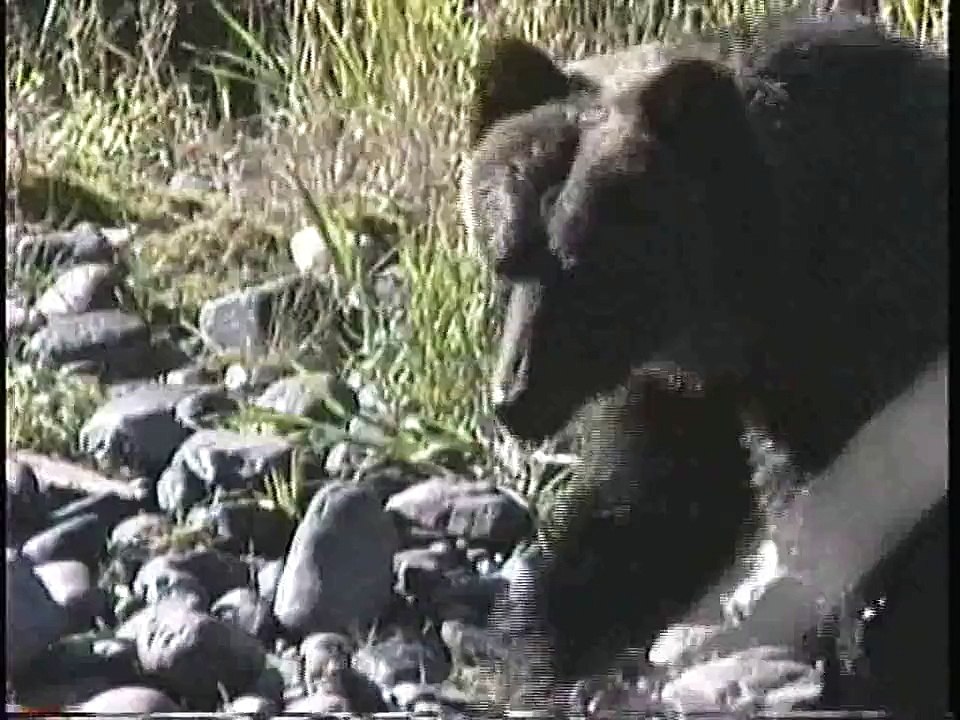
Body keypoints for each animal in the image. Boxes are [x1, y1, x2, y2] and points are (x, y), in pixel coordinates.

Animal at [463, 10, 947, 716]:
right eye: (506, 259)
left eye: (589, 273)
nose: (516, 399)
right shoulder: (681, 390)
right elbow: (647, 505)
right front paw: (554, 651)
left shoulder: (870, 349)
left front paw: (878, 664)